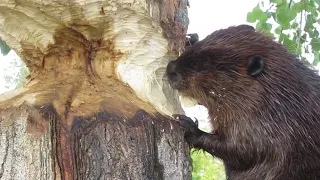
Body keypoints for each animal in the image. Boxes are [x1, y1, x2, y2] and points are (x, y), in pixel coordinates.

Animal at [166, 24, 320, 179]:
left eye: (204, 66)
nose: (170, 68)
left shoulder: (268, 126)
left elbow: (243, 150)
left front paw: (188, 125)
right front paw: (191, 39)